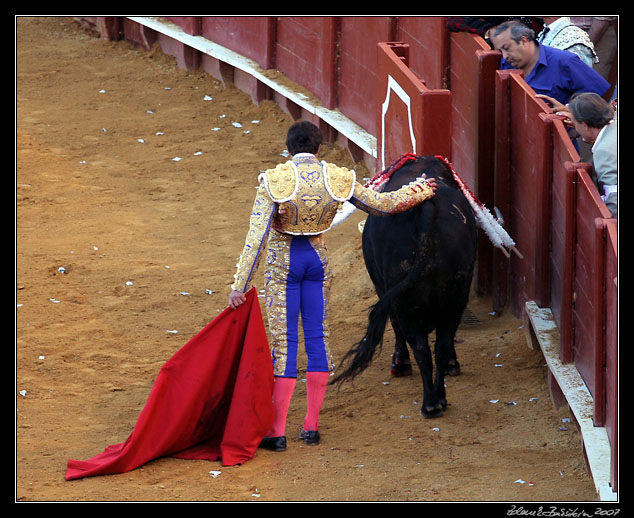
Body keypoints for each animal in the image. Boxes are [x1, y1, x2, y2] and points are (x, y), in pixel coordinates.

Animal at [330, 156, 474, 420]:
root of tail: (428, 208)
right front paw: (453, 365)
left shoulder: (383, 288)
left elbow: (396, 327)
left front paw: (399, 363)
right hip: (456, 295)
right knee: (441, 345)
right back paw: (440, 399)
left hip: (406, 302)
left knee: (420, 347)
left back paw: (429, 404)